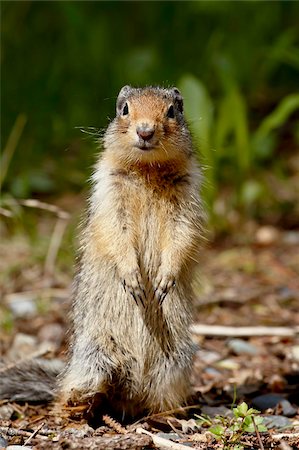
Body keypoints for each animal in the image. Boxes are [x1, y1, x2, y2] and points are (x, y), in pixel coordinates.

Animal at [0, 87, 205, 418]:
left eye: (173, 111)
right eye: (124, 109)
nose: (145, 131)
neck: (147, 169)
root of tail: (129, 394)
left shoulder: (187, 197)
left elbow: (181, 235)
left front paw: (164, 279)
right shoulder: (109, 193)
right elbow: (114, 233)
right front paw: (133, 278)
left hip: (174, 364)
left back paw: (169, 417)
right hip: (92, 359)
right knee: (67, 395)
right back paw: (79, 409)